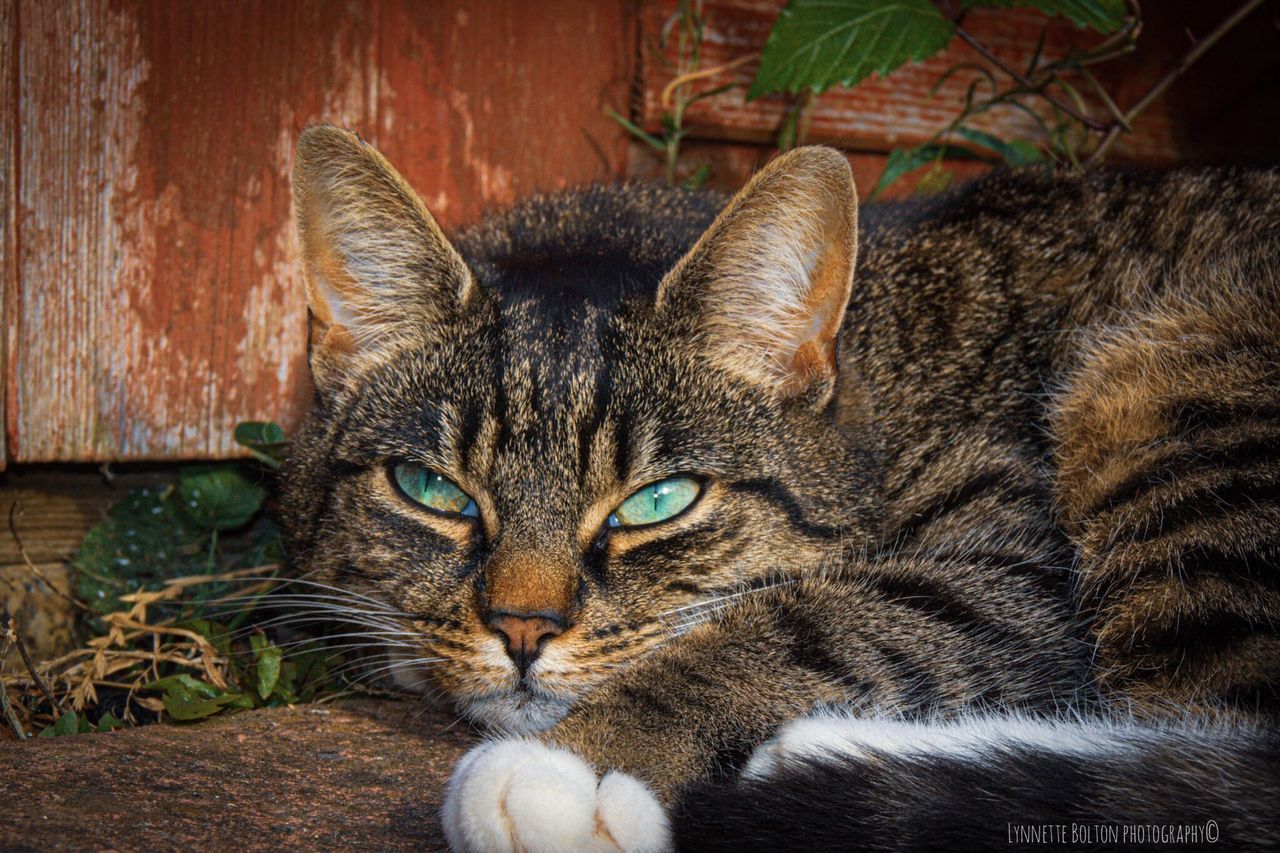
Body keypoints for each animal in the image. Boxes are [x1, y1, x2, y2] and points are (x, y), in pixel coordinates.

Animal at [280, 122, 1280, 845]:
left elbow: (810, 620)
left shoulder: (1017, 567)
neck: (887, 369)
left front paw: (575, 764)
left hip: (1163, 385)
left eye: (659, 500)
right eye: (432, 489)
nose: (523, 629)